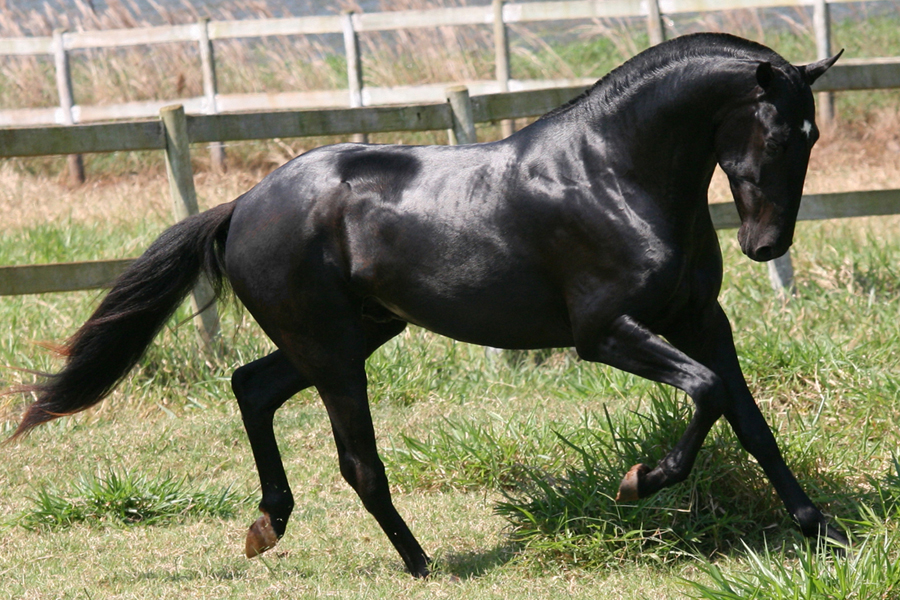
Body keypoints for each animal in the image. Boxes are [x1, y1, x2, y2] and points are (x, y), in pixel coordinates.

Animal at [9, 33, 843, 577]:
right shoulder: (605, 332)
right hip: (336, 352)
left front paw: (818, 528)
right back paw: (419, 562)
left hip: (355, 334)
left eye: (815, 137)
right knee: (356, 461)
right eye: (778, 133)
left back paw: (267, 525)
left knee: (252, 386)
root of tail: (243, 204)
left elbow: (746, 415)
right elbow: (707, 393)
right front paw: (640, 480)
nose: (766, 245)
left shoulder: (702, 319)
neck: (613, 174)